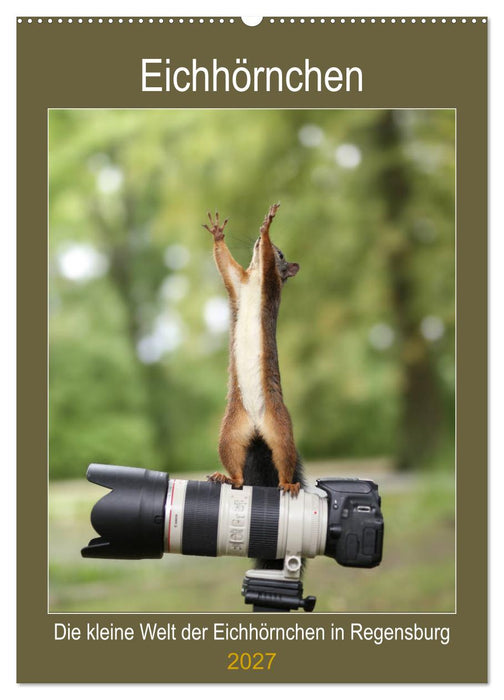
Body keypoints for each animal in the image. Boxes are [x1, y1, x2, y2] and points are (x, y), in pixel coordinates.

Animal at [204, 203, 304, 503]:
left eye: (283, 255)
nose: (257, 242)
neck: (254, 276)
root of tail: (258, 427)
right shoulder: (238, 282)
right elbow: (225, 264)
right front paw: (218, 234)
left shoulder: (270, 283)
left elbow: (268, 263)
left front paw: (267, 228)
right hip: (230, 434)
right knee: (237, 471)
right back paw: (226, 477)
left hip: (281, 431)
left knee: (284, 460)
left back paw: (288, 484)